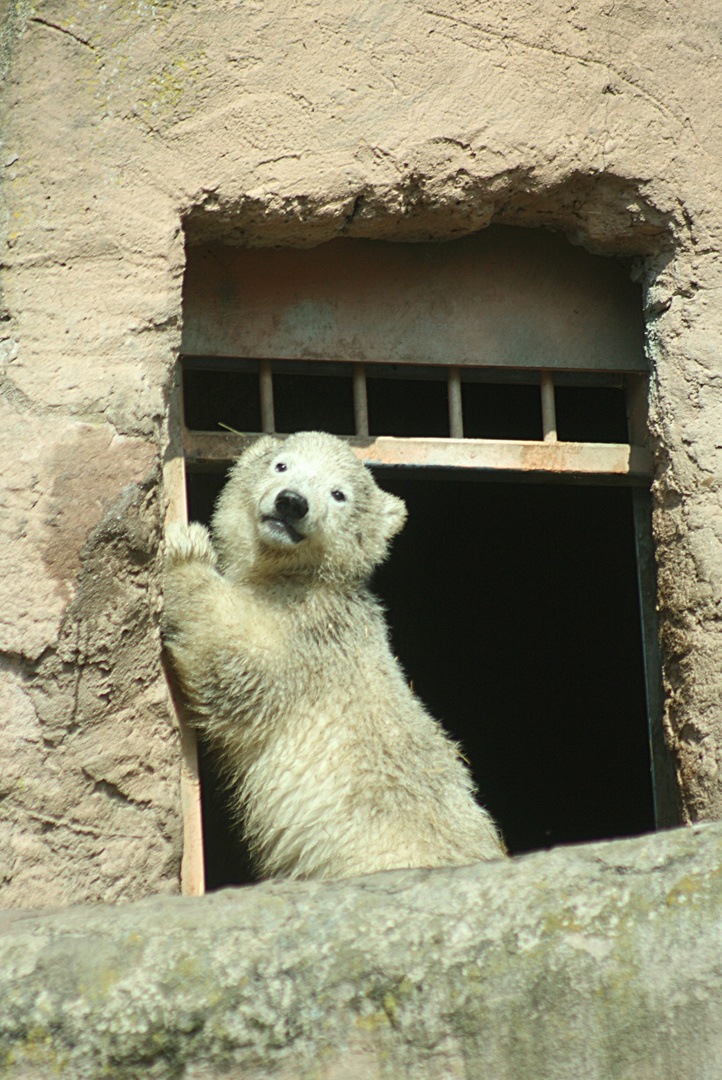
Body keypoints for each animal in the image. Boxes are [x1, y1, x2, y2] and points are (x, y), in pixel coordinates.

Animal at [164, 429, 505, 876]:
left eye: (338, 493)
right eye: (282, 464)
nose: (292, 502)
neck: (298, 576)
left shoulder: (312, 634)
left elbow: (239, 666)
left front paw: (184, 550)